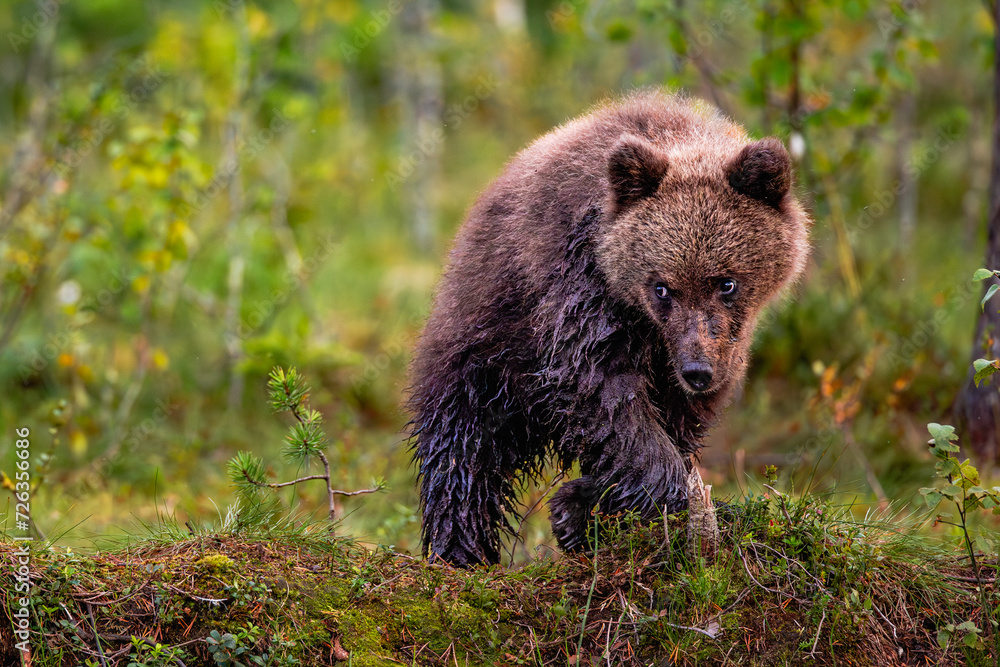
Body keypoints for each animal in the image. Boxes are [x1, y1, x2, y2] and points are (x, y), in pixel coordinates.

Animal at [409, 90, 810, 566]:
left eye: (726, 282)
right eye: (662, 287)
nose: (697, 372)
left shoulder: (713, 349)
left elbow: (674, 420)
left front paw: (577, 509)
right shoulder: (581, 285)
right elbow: (601, 389)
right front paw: (671, 496)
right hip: (484, 345)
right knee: (463, 450)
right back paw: (459, 552)